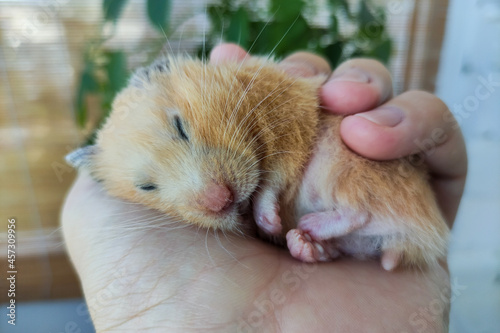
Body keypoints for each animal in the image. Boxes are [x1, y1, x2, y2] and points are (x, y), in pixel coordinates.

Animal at [66, 53, 450, 268]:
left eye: (180, 127)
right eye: (146, 187)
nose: (221, 200)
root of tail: (427, 235)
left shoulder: (292, 124)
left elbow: (272, 181)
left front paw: (267, 220)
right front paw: (268, 224)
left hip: (346, 166)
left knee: (360, 210)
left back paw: (307, 227)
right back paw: (305, 244)